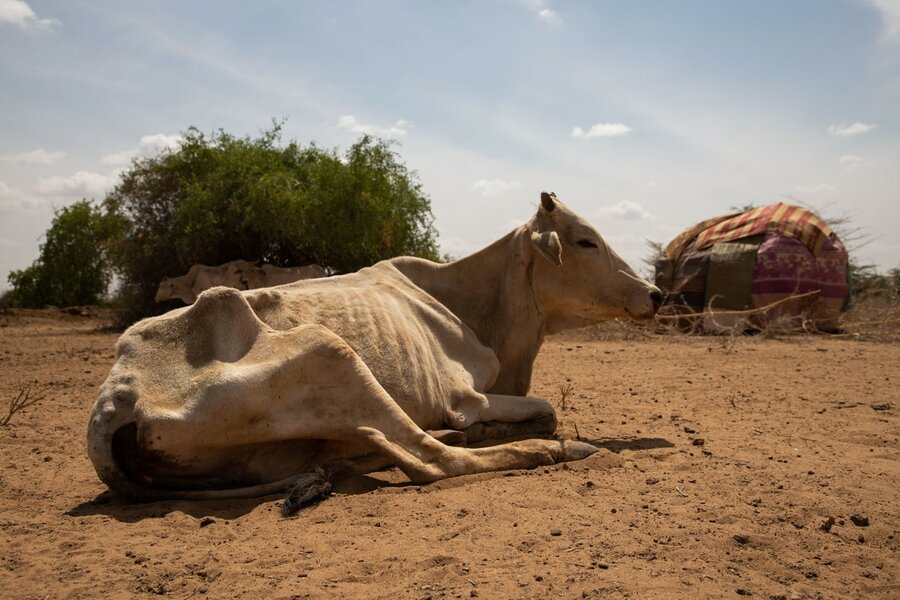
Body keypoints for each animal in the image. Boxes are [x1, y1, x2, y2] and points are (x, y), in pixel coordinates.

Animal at [89, 193, 660, 516]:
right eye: (585, 241)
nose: (655, 294)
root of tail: (116, 396)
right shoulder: (465, 397)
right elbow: (546, 410)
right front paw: (517, 432)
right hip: (331, 352)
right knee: (432, 461)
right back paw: (556, 450)